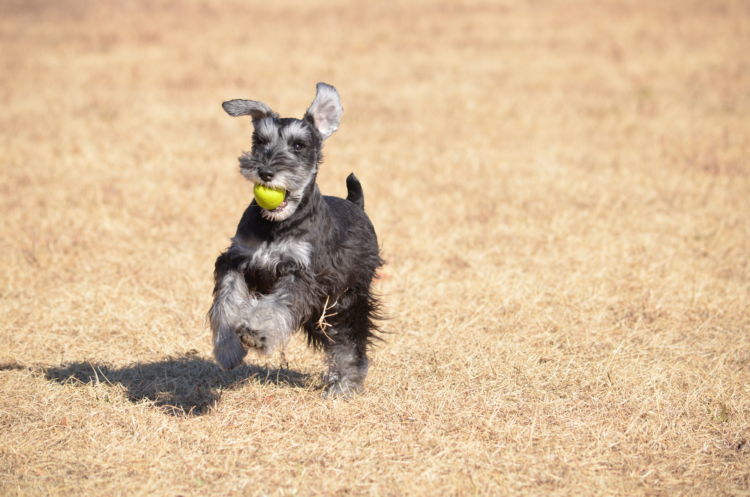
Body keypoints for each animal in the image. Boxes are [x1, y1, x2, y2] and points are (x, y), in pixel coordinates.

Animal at [210, 83, 382, 398]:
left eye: (299, 145)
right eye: (260, 140)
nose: (266, 172)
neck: (277, 226)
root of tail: (356, 204)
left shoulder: (302, 275)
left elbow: (277, 305)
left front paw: (256, 334)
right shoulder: (235, 261)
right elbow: (226, 303)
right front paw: (228, 350)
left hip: (345, 299)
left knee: (349, 338)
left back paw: (345, 384)